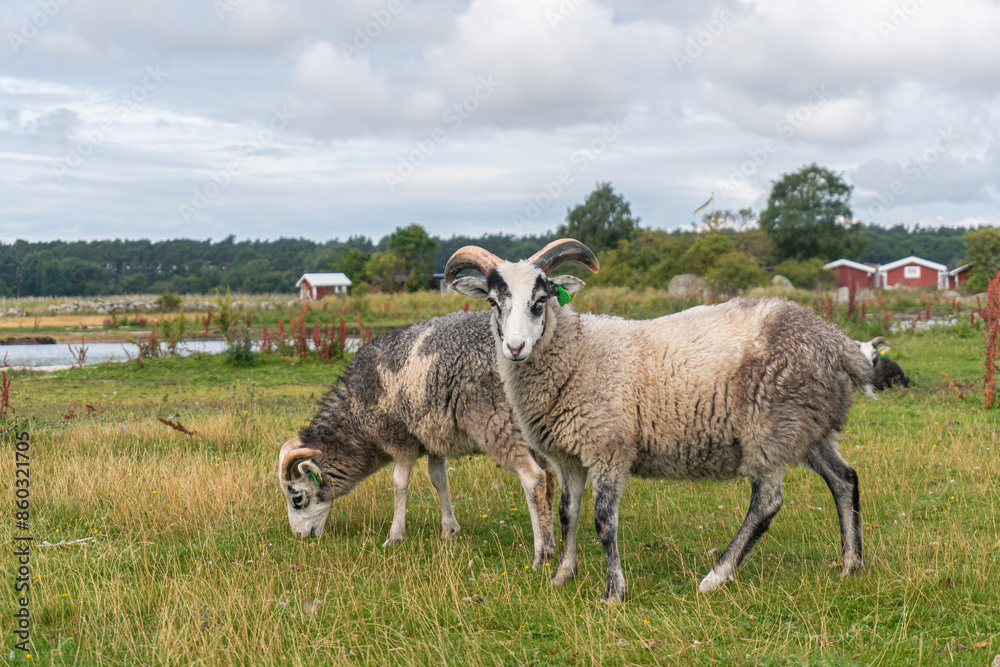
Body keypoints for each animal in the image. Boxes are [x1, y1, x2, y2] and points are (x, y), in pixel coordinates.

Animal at [278, 310, 556, 567]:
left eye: (297, 498)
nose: (301, 537)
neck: (357, 419)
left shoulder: (400, 439)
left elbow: (399, 483)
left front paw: (395, 536)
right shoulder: (435, 437)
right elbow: (438, 480)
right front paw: (449, 530)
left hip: (498, 424)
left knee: (534, 479)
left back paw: (540, 557)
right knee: (550, 476)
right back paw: (552, 546)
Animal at [445, 239, 876, 601]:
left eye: (540, 300)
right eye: (492, 302)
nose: (515, 347)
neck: (577, 351)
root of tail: (832, 338)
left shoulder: (609, 448)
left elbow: (604, 521)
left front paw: (613, 592)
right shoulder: (568, 456)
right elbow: (568, 514)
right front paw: (561, 576)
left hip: (769, 429)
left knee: (767, 503)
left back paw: (716, 576)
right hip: (806, 426)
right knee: (844, 479)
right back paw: (851, 565)